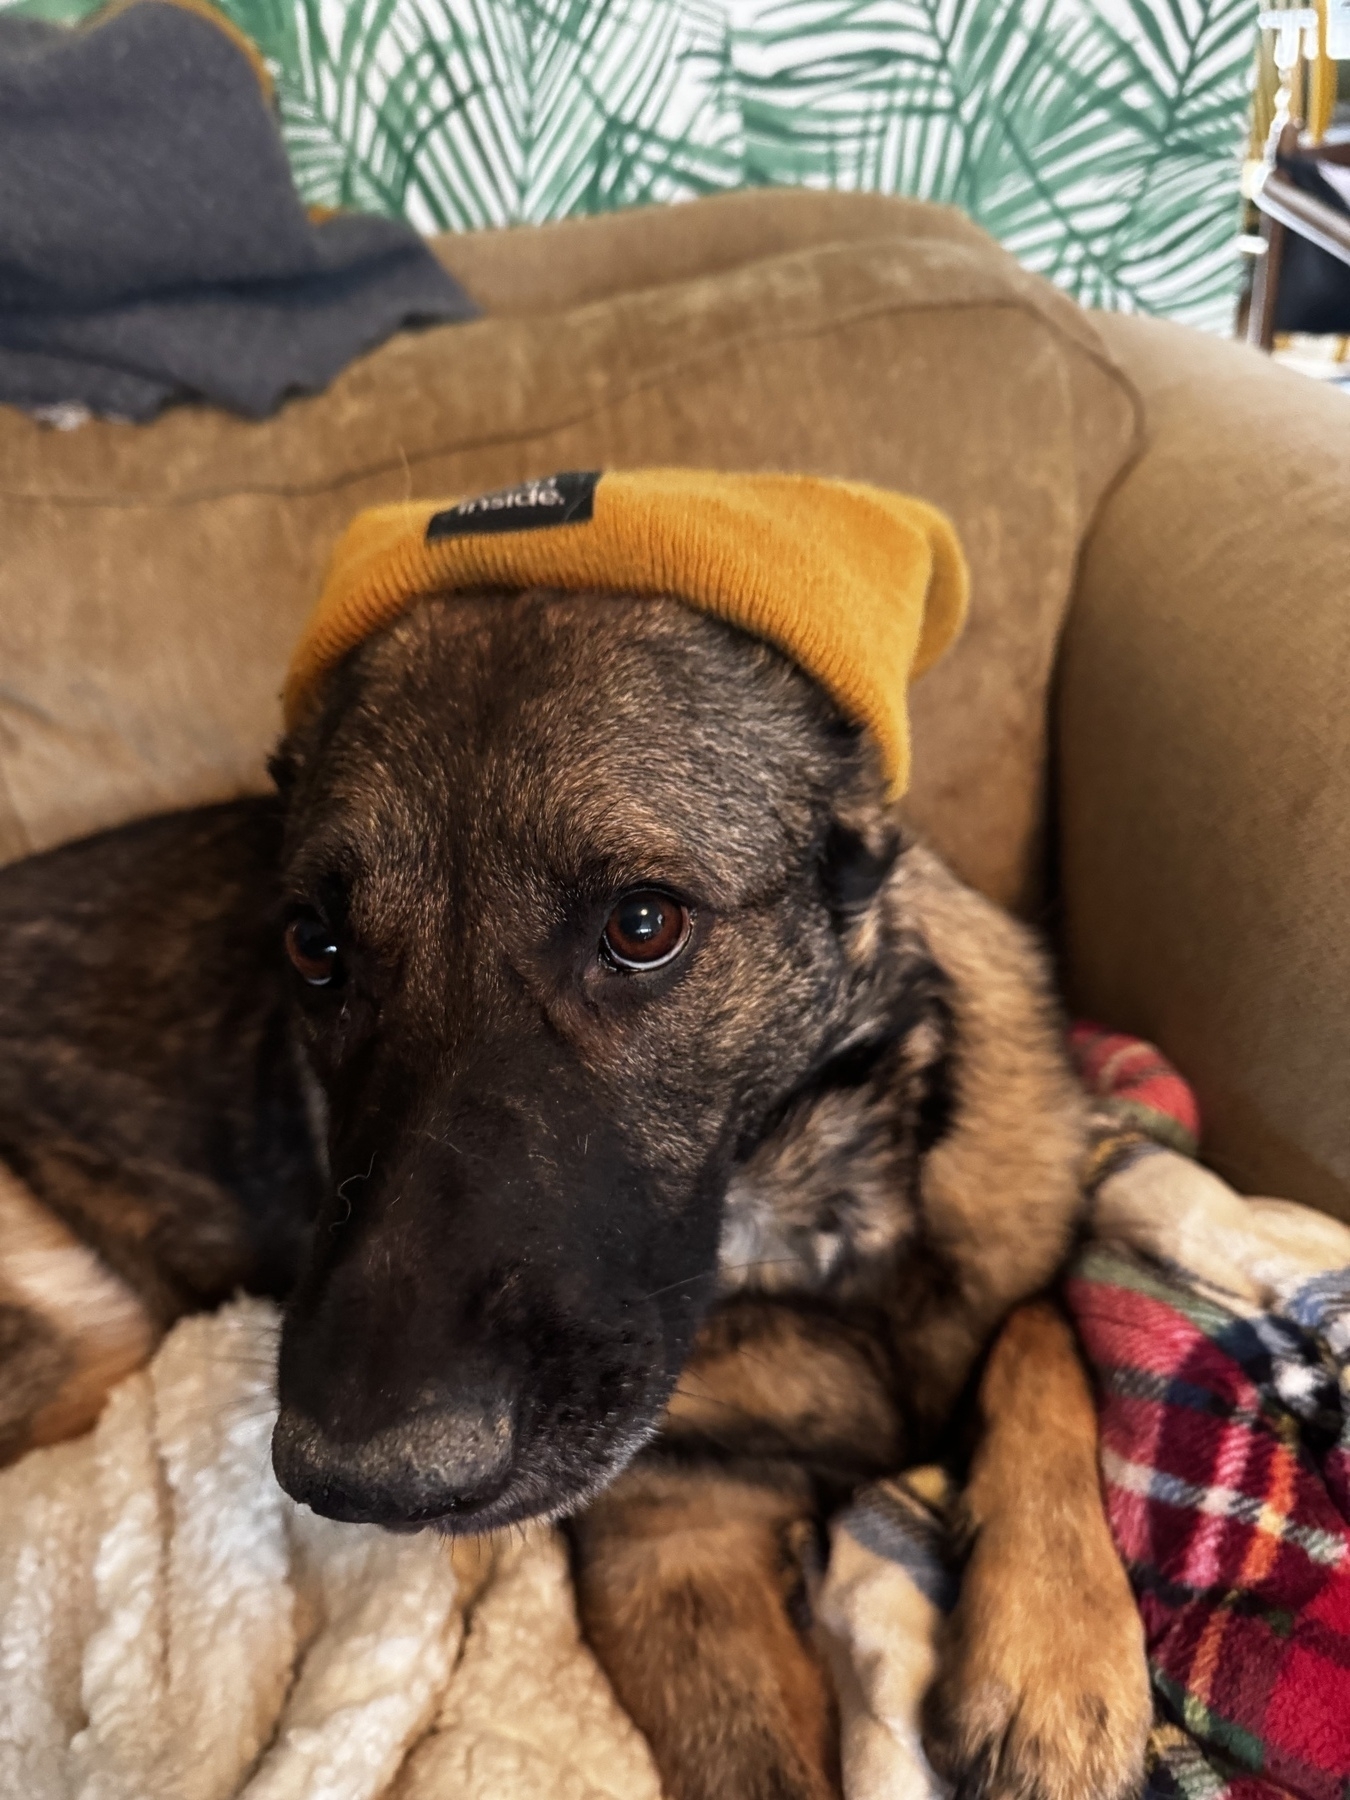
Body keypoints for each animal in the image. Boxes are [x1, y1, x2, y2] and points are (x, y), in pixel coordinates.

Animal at [0, 590, 1152, 1800]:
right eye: (315, 948)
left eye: (643, 926)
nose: (363, 1484)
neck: (806, 1218)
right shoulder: (671, 1540)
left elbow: (1043, 1331)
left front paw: (1052, 1654)